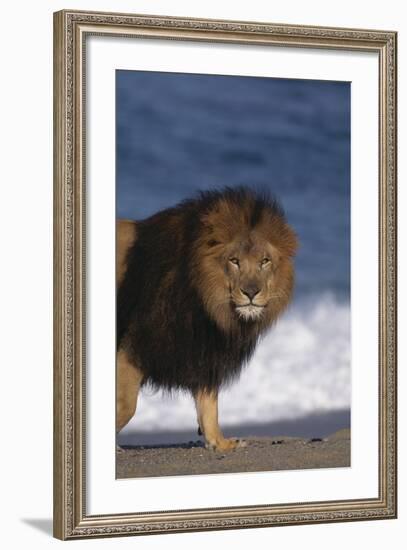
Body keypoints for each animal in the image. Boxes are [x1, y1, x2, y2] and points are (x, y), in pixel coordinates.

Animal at [116, 187, 298, 452]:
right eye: (234, 261)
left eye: (265, 261)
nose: (251, 292)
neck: (207, 304)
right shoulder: (135, 344)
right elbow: (126, 406)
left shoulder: (205, 350)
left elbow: (209, 405)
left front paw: (220, 442)